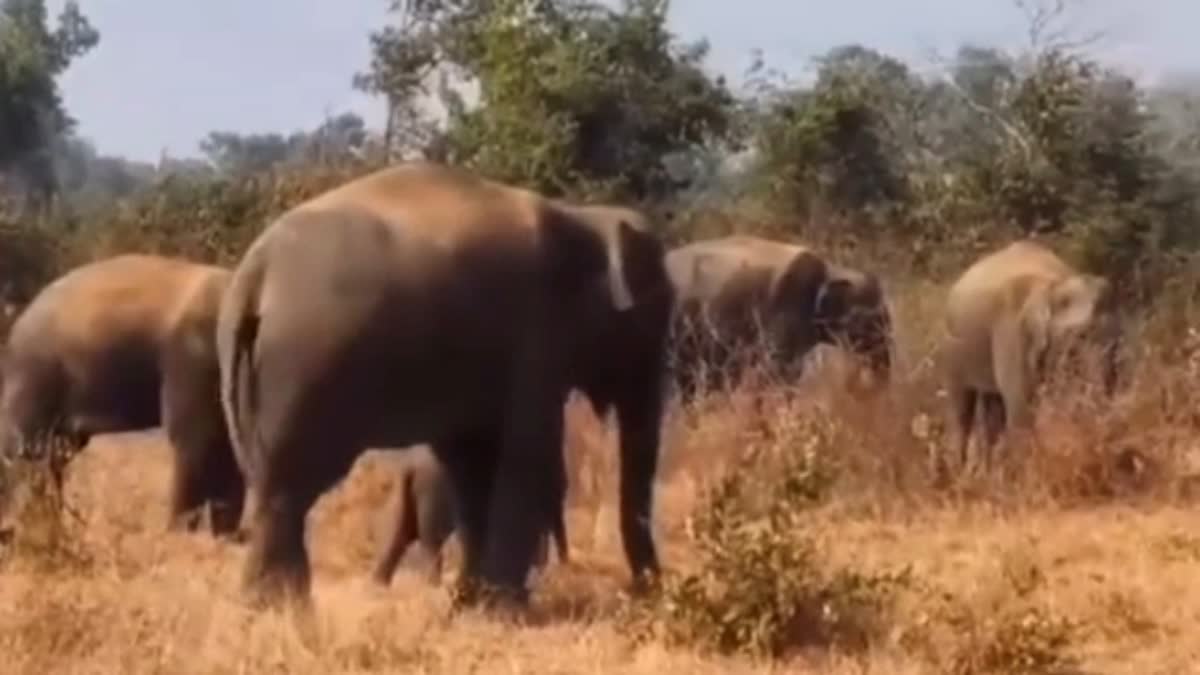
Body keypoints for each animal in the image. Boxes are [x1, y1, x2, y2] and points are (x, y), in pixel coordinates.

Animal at [0, 252, 246, 535]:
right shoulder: (191, 356)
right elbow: (198, 441)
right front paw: (180, 535)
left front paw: (224, 536)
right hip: (35, 376)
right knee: (26, 451)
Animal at [367, 441, 568, 583]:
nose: (566, 567)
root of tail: (409, 465)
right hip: (435, 492)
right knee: (431, 543)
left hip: (404, 495)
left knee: (399, 539)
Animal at [936, 237, 1123, 473]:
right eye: (1080, 336)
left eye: (1118, 339)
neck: (1052, 286)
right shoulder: (1010, 332)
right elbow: (1022, 407)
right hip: (951, 348)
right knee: (962, 409)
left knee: (992, 409)